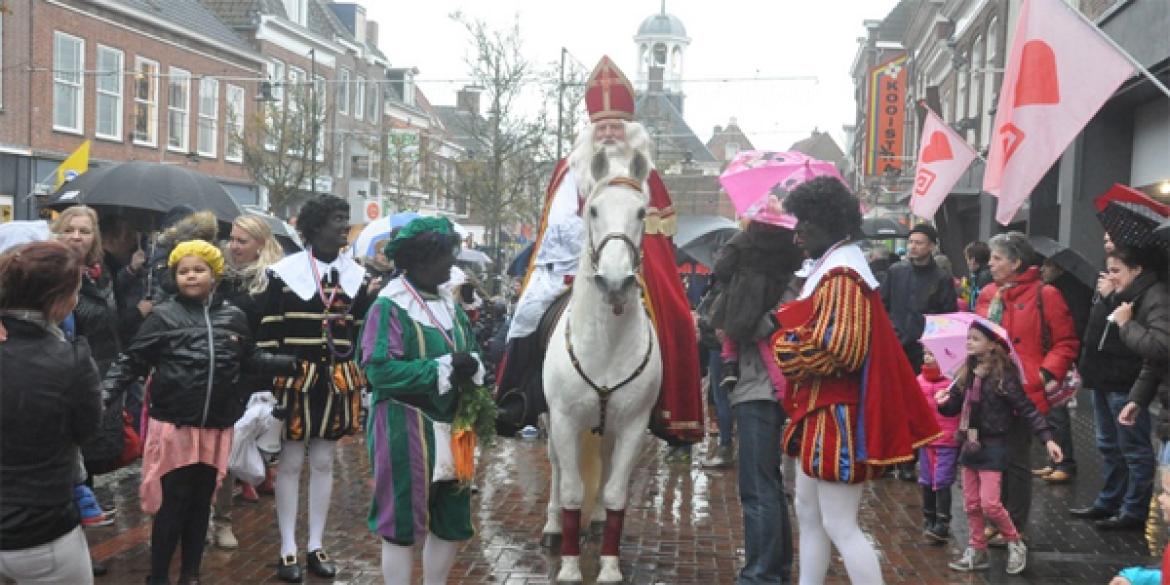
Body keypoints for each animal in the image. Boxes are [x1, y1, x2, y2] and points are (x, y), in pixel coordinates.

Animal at [540, 148, 664, 582]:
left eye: (642, 212)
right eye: (592, 209)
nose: (614, 281)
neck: (606, 346)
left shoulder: (633, 426)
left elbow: (614, 493)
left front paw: (609, 567)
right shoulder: (563, 420)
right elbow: (572, 489)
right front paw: (569, 568)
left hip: (607, 426)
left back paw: (593, 523)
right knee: (557, 469)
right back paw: (552, 527)